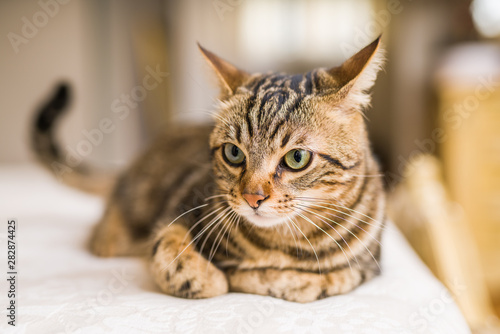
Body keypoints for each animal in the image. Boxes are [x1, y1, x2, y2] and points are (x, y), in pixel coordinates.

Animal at [33, 36, 386, 302]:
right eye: (233, 153)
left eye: (297, 158)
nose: (252, 197)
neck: (280, 242)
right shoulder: (177, 212)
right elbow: (176, 258)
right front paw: (215, 276)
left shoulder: (367, 267)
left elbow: (322, 280)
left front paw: (268, 277)